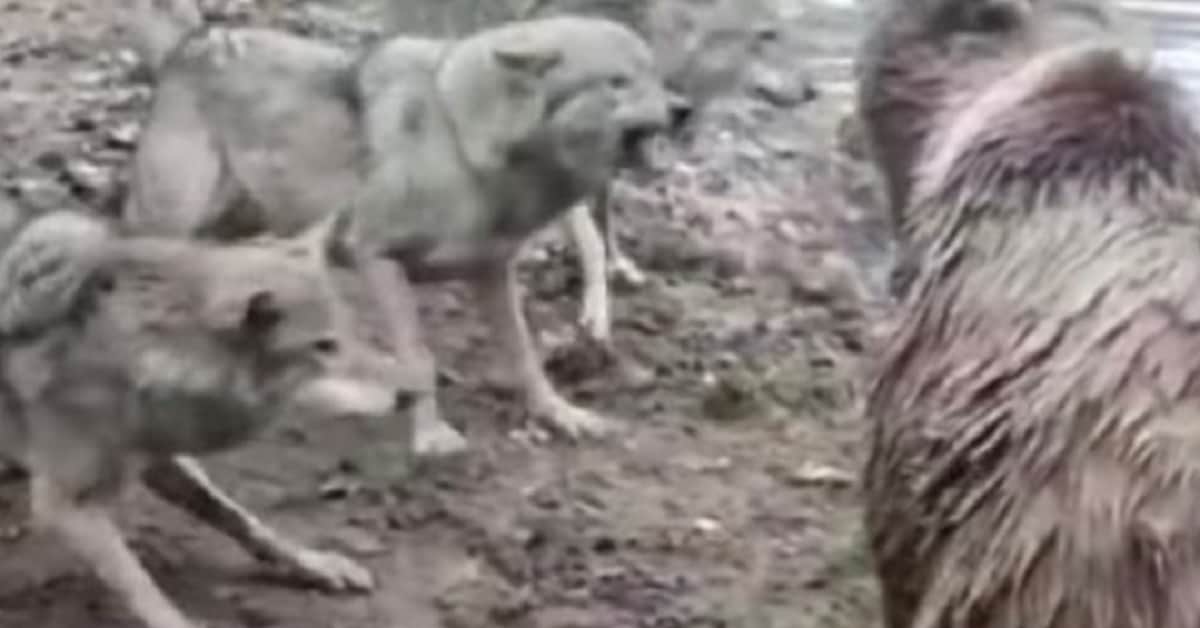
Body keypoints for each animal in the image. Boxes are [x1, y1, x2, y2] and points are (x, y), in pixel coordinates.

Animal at [0, 206, 418, 628]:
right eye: (324, 346)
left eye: (353, 332)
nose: (413, 392)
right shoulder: (64, 505)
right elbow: (139, 584)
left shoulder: (158, 454)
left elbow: (239, 518)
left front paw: (314, 565)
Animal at [115, 0, 685, 458]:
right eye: (617, 81)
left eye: (654, 73)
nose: (684, 109)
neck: (464, 146)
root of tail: (193, 40)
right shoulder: (376, 256)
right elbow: (420, 359)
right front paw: (431, 439)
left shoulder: (492, 270)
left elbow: (524, 355)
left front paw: (560, 414)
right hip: (176, 221)